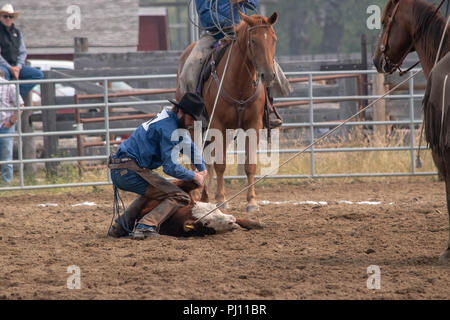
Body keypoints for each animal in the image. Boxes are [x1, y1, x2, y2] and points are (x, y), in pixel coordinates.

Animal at [175, 11, 278, 212]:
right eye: (253, 41)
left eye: (274, 39)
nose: (268, 75)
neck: (239, 84)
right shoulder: (218, 125)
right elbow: (221, 164)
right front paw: (221, 200)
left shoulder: (253, 125)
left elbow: (250, 164)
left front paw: (251, 202)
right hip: (195, 127)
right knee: (197, 160)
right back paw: (198, 195)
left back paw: (206, 195)